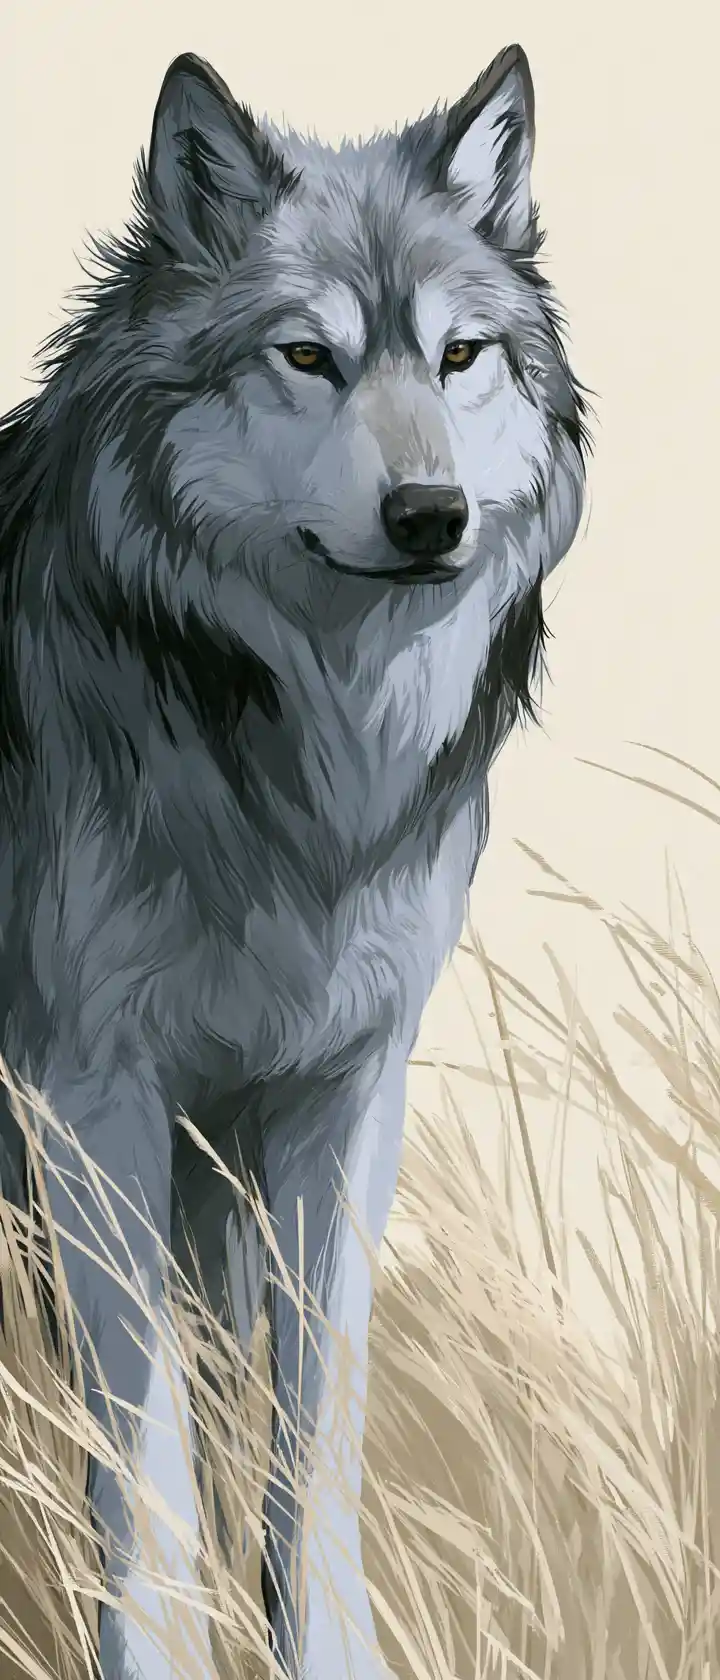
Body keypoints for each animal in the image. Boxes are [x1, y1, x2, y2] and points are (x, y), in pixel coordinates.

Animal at [0, 39, 589, 1680]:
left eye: (460, 357)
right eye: (307, 357)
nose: (429, 515)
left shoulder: (341, 1089)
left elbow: (309, 1422)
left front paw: (323, 1653)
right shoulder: (89, 1098)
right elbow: (140, 1455)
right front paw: (153, 1656)